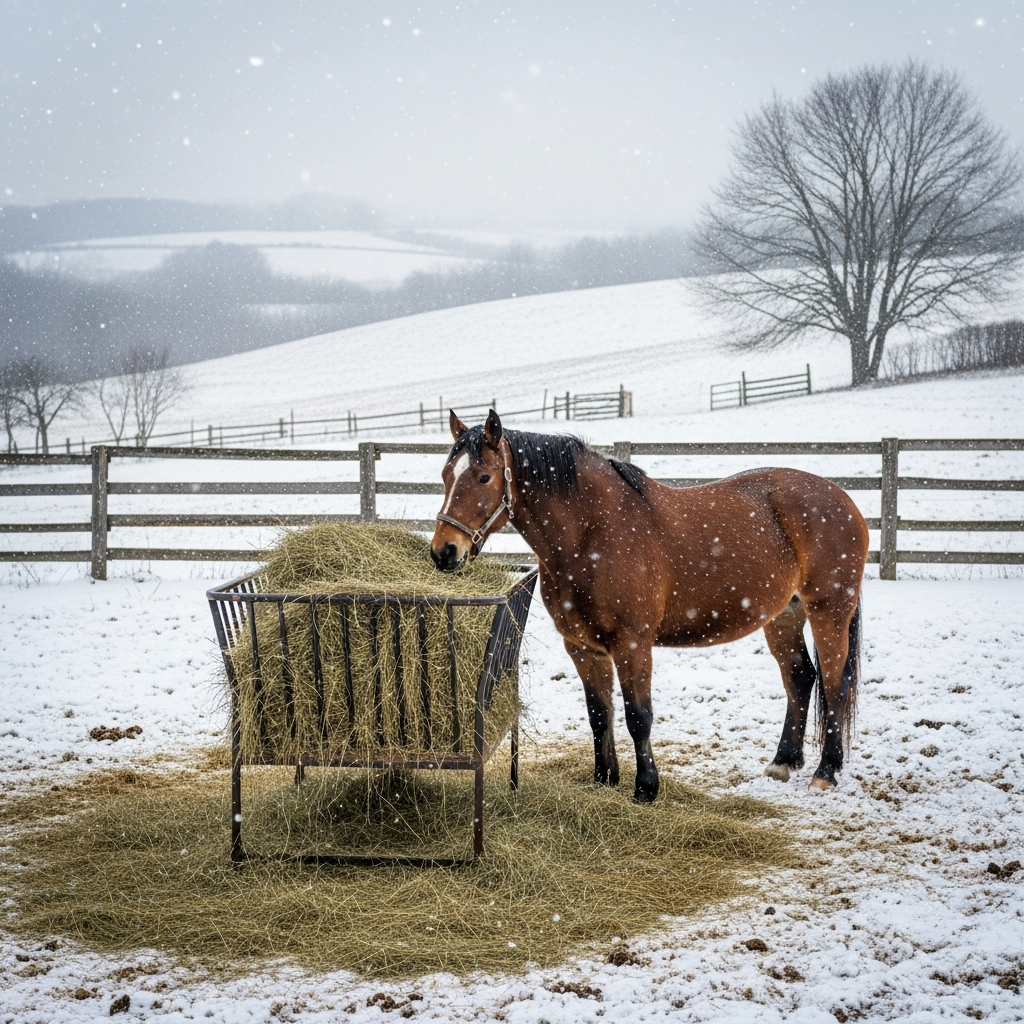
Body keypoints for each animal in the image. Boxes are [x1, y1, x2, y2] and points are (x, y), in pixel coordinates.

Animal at [431, 410, 868, 799]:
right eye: (446, 475)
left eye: (484, 476)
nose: (444, 552)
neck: (593, 531)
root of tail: (843, 499)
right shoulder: (582, 647)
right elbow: (599, 713)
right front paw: (604, 778)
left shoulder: (633, 644)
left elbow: (638, 716)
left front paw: (645, 788)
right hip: (783, 616)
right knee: (800, 677)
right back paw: (783, 761)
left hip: (829, 611)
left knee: (835, 682)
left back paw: (825, 772)